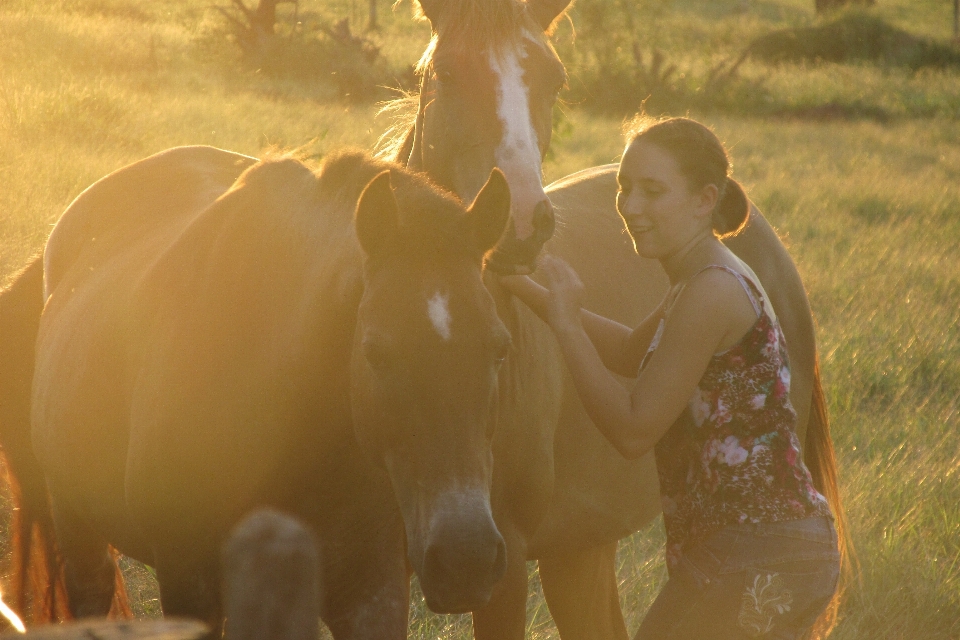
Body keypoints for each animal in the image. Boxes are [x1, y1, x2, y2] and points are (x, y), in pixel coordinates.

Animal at [0, 148, 516, 636]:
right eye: (375, 352)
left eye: (499, 349)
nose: (466, 559)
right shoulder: (190, 584)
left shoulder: (371, 590)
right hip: (77, 527)